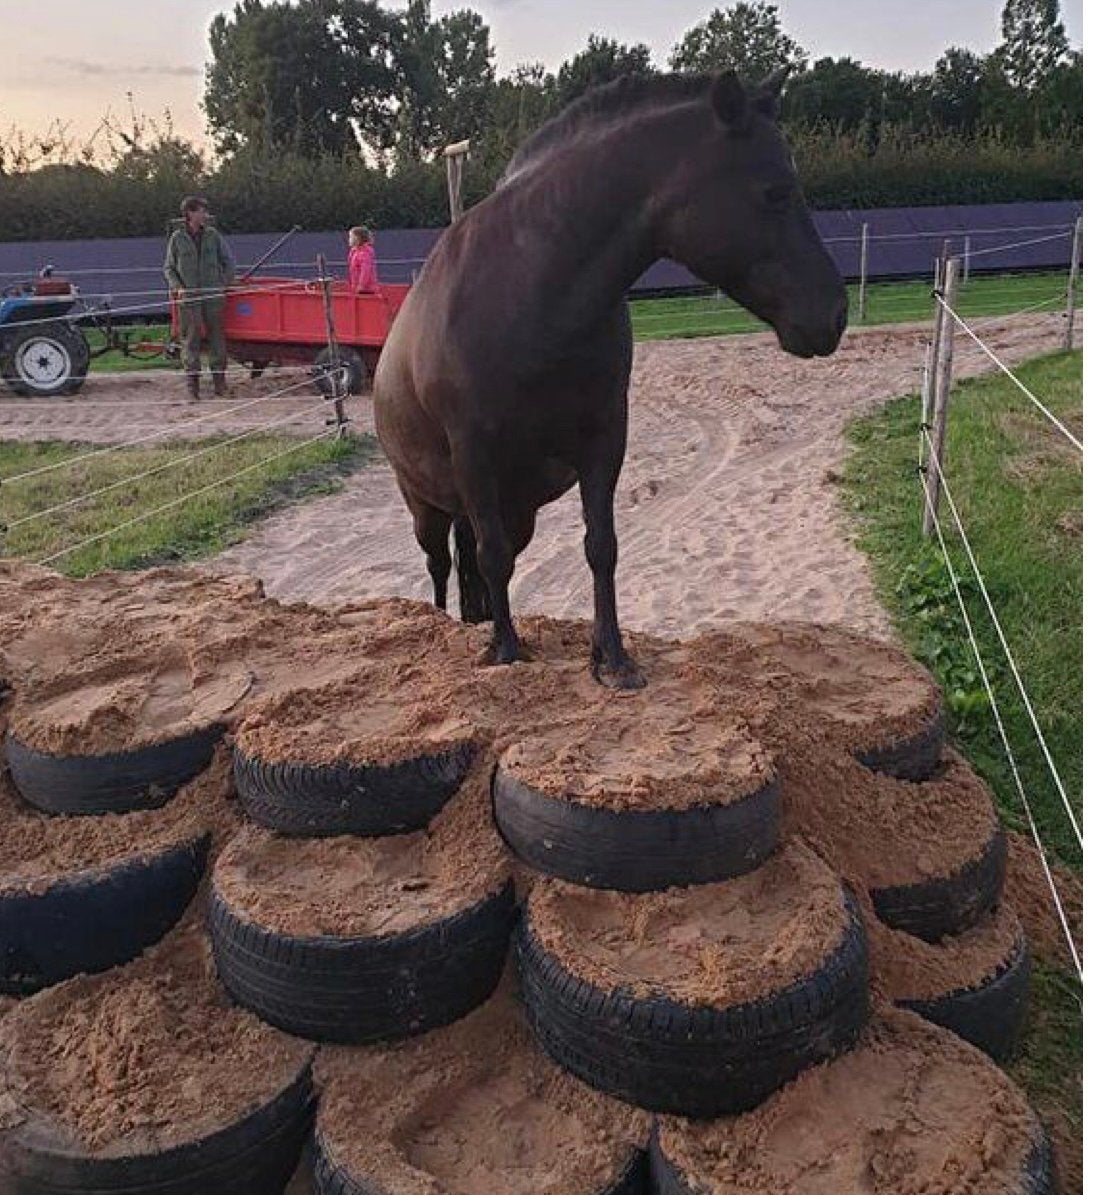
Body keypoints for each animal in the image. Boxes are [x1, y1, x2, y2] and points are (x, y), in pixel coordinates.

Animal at [373, 69, 847, 689]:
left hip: (515, 507)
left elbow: (600, 546)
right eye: (775, 191)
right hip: (426, 505)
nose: (835, 313)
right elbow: (492, 556)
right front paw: (506, 650)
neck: (529, 293)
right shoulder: (475, 452)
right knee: (440, 562)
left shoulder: (604, 438)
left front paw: (611, 657)